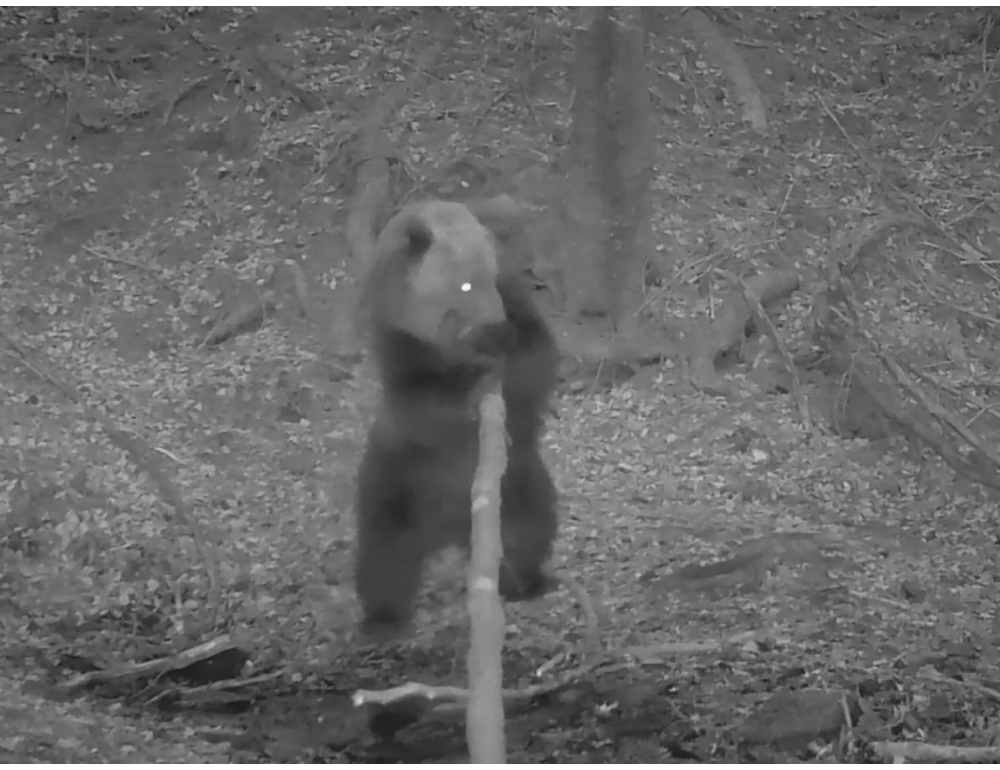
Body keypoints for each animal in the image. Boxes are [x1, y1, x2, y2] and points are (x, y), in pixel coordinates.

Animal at [354, 197, 560, 639]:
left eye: (492, 274)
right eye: (464, 284)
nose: (494, 320)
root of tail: (450, 530)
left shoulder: (520, 312)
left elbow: (536, 360)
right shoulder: (401, 345)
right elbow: (421, 403)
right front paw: (467, 386)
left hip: (516, 482)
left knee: (528, 529)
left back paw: (524, 581)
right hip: (397, 482)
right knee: (382, 555)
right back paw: (382, 617)